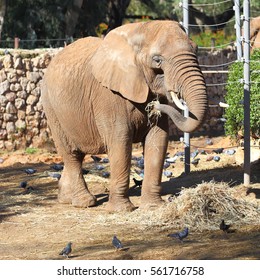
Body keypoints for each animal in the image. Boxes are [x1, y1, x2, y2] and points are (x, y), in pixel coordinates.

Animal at [40, 19, 207, 212]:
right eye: (157, 60)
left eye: (196, 50)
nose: (155, 106)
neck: (139, 29)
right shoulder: (109, 96)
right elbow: (120, 140)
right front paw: (122, 210)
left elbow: (158, 139)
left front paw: (153, 206)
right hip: (52, 108)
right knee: (71, 154)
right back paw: (85, 202)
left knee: (76, 155)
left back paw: (66, 199)